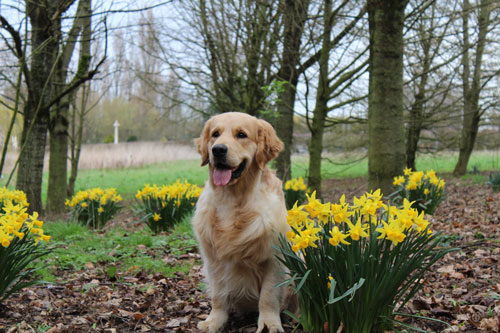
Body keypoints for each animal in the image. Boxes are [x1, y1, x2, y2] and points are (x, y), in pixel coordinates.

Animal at [192, 112, 292, 332]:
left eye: (241, 134)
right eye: (215, 134)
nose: (218, 150)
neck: (232, 200)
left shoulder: (274, 258)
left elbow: (268, 296)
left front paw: (269, 323)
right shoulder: (213, 260)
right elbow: (218, 296)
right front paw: (214, 321)